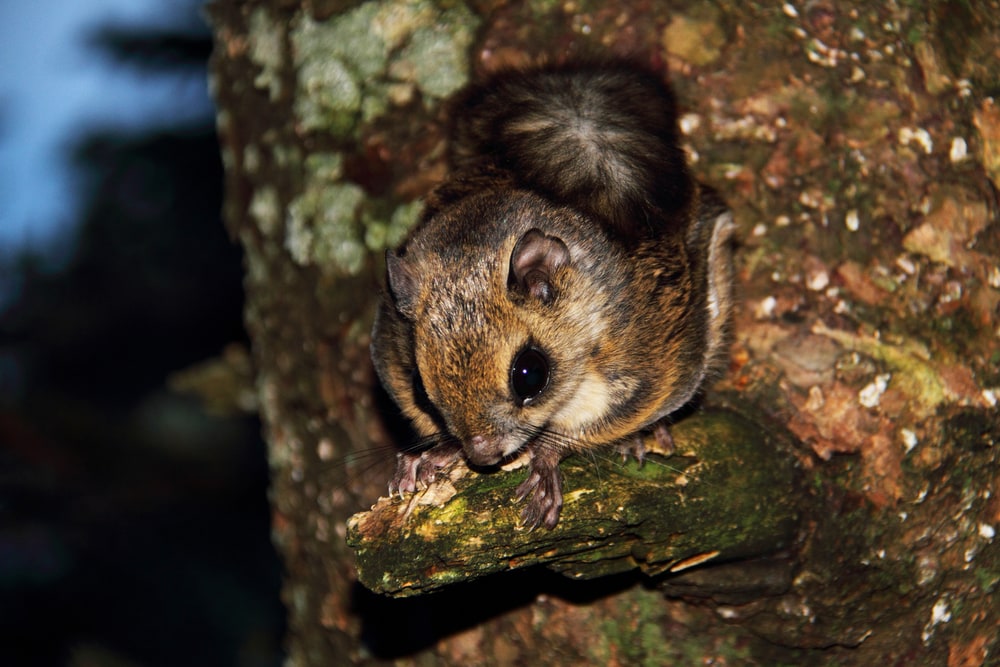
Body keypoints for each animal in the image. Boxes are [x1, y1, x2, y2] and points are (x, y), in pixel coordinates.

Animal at [371, 61, 735, 529]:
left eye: (530, 375)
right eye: (418, 384)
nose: (482, 454)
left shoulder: (649, 371)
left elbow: (588, 429)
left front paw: (545, 462)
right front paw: (431, 456)